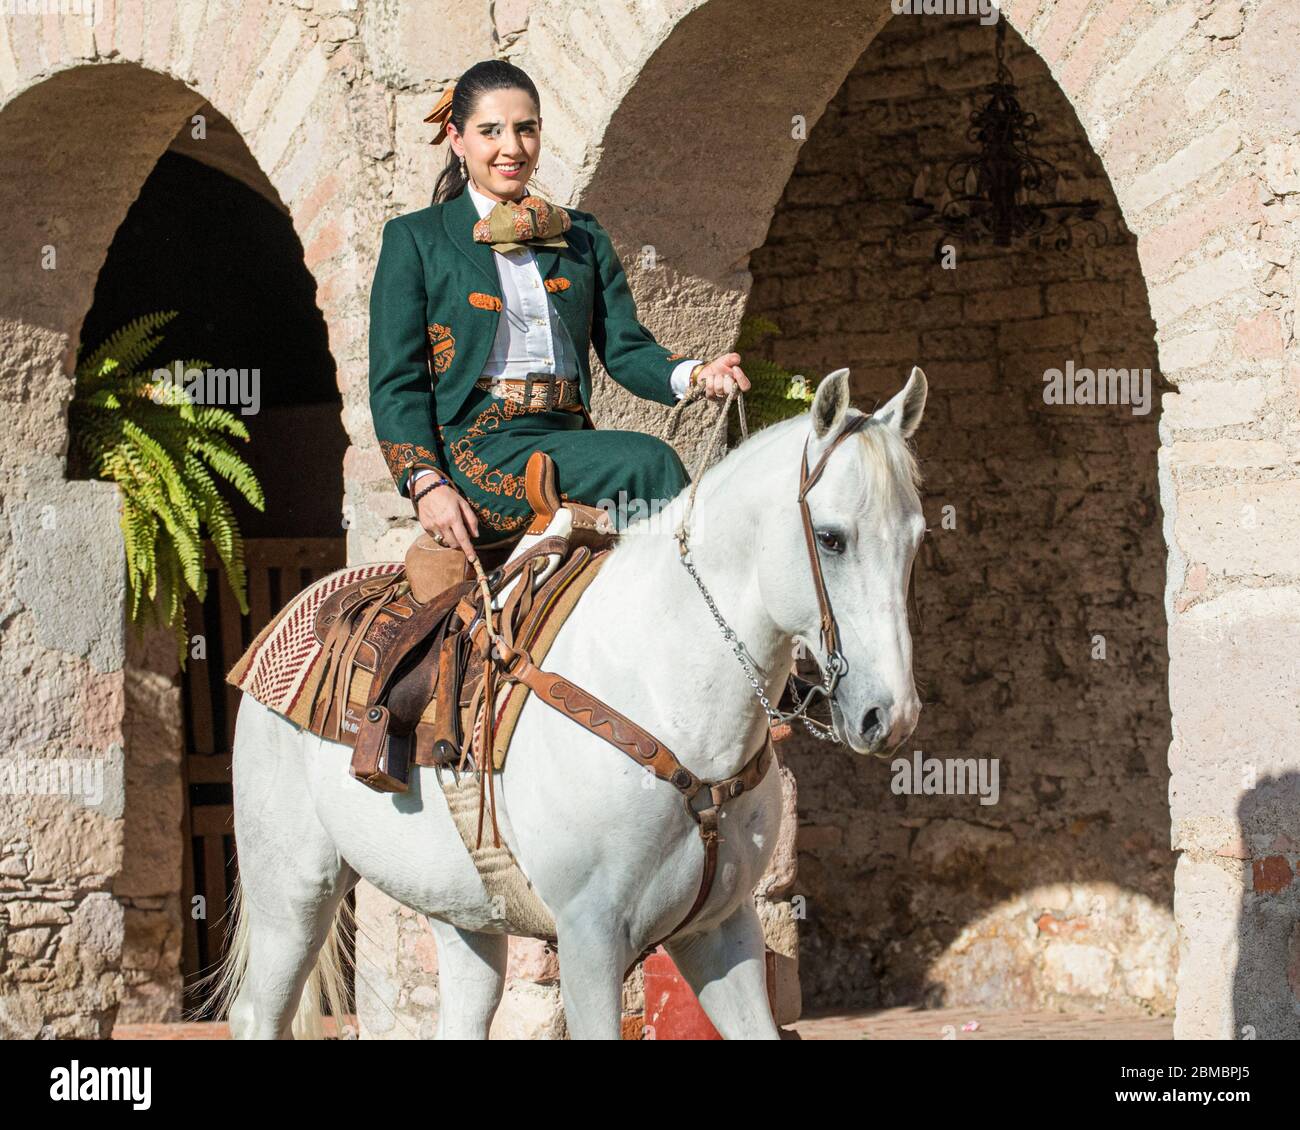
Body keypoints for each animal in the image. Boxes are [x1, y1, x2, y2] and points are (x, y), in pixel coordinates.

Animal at [210, 366, 925, 1035]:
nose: (889, 716)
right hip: (293, 892)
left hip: (458, 906)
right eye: (830, 538)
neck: (664, 688)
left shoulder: (723, 931)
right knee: (259, 1012)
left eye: (917, 537)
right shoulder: (591, 940)